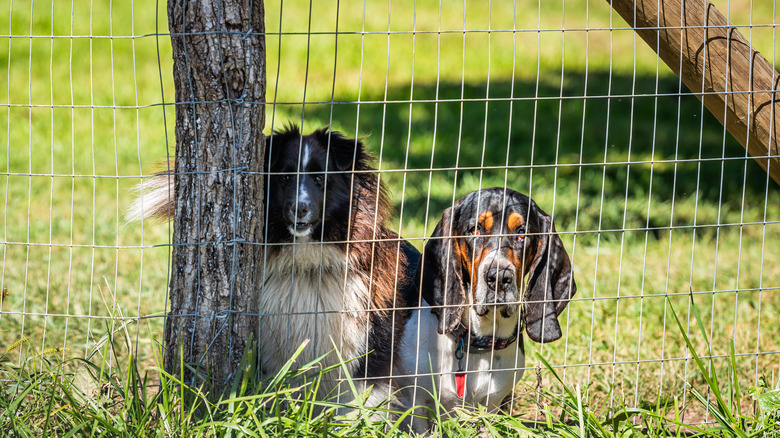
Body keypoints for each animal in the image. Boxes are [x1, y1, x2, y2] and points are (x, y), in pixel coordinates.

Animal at [128, 126, 420, 408]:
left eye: (320, 179)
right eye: (285, 178)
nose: (299, 209)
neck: (307, 268)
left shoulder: (368, 352)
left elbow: (359, 405)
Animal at [396, 188, 572, 432]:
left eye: (522, 233)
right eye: (475, 230)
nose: (499, 277)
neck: (476, 343)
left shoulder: (491, 406)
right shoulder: (415, 404)